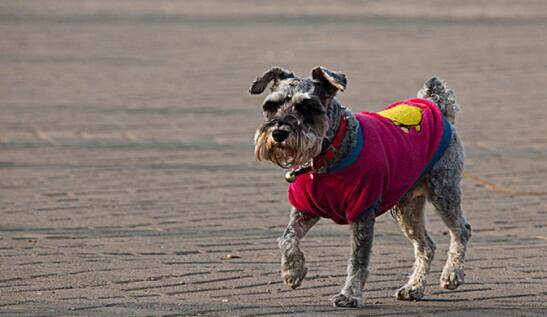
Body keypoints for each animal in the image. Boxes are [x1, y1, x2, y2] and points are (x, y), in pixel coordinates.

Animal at [250, 66, 474, 306]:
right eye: (271, 106)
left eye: (307, 107)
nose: (278, 133)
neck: (329, 154)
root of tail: (436, 106)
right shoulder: (305, 209)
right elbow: (287, 238)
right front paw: (293, 272)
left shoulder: (362, 212)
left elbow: (358, 260)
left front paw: (350, 294)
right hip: (407, 208)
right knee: (426, 246)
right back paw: (413, 287)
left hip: (443, 191)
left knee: (461, 230)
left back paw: (452, 274)